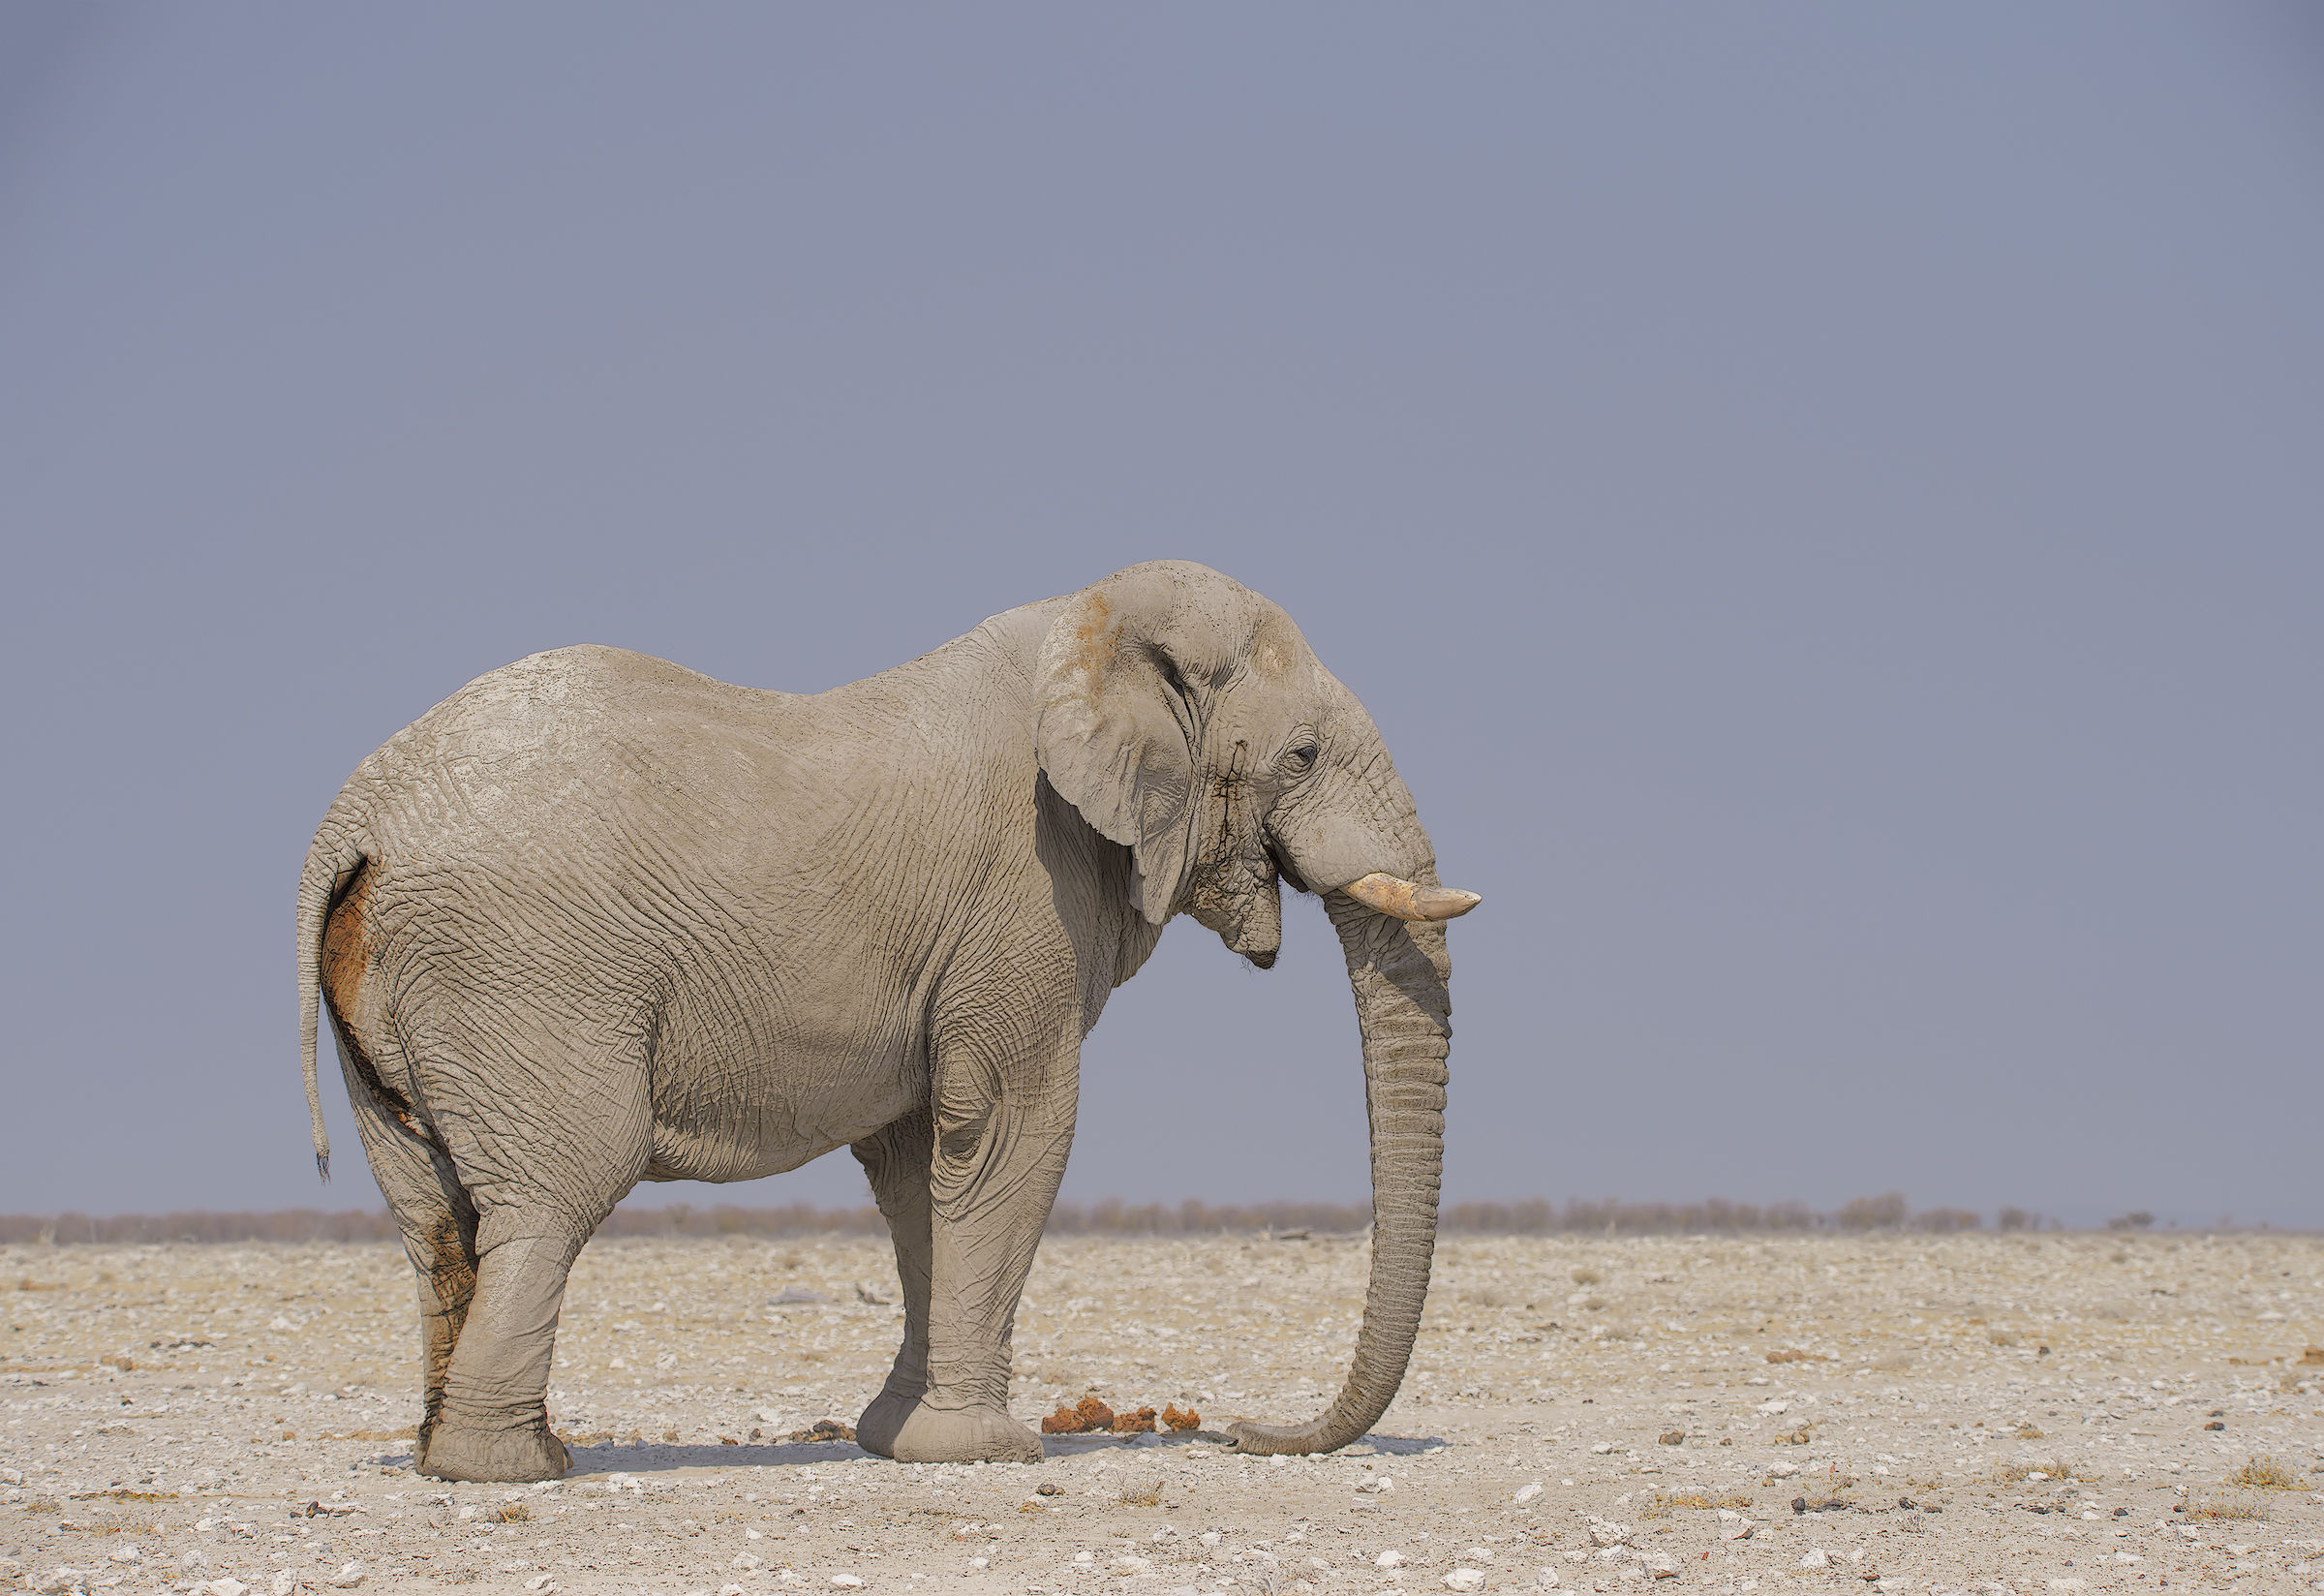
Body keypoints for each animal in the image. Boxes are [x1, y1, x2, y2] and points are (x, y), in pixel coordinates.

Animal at [295, 560, 1478, 1482]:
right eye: (1302, 758)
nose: (1239, 1432)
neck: (1087, 623)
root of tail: (356, 821)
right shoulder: (1023, 894)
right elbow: (1010, 1130)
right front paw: (987, 1451)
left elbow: (918, 1165)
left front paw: (895, 1439)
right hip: (527, 971)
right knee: (558, 1192)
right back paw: (511, 1468)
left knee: (432, 1213)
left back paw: (457, 1452)